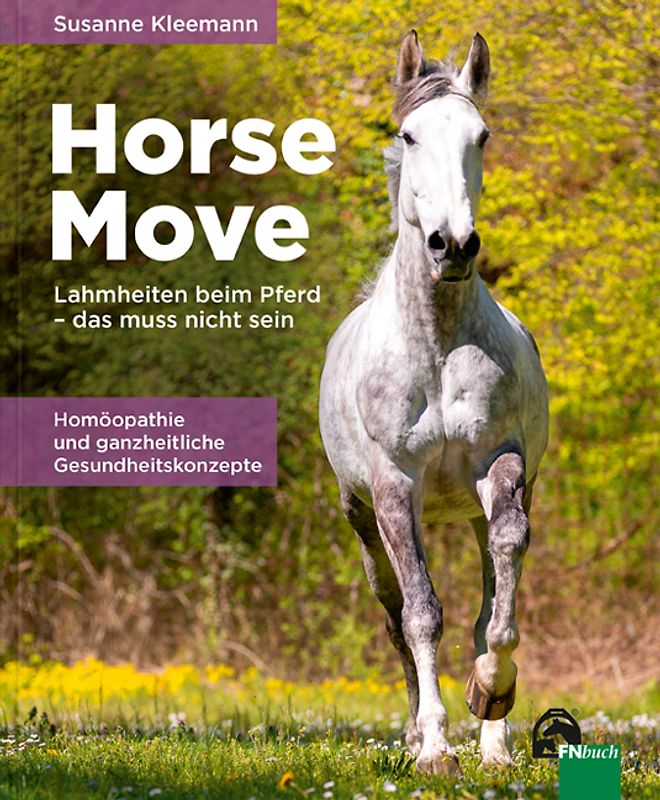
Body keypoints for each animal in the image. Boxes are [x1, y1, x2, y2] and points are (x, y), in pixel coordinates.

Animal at [319, 30, 548, 774]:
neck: (439, 344)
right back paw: (421, 734)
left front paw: (490, 700)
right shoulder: (394, 486)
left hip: (471, 508)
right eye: (409, 134)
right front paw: (434, 749)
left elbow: (496, 596)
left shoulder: (501, 465)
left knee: (485, 590)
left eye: (482, 135)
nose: (453, 244)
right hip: (363, 518)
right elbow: (421, 612)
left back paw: (495, 745)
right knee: (394, 614)